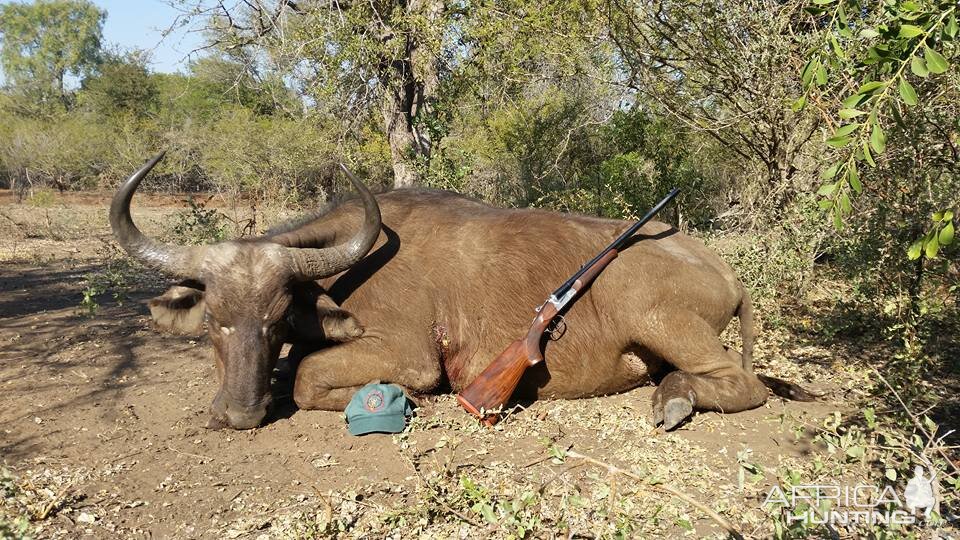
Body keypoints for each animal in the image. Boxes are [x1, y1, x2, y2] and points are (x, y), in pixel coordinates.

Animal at [110, 153, 808, 430]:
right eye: (213, 322)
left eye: (278, 318)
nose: (238, 414)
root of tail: (723, 269)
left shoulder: (410, 354)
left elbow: (307, 378)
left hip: (658, 316)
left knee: (744, 383)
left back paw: (676, 399)